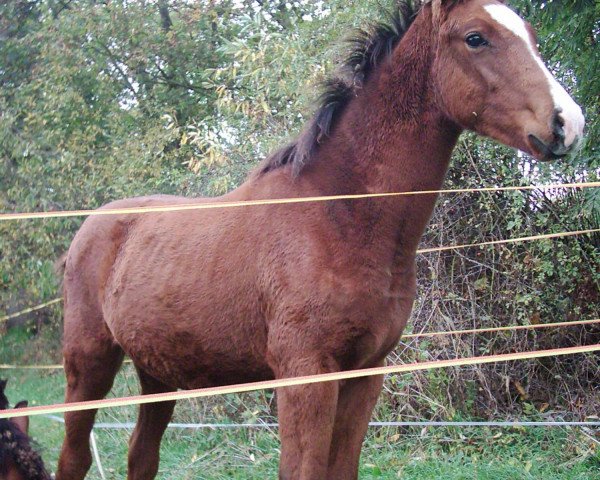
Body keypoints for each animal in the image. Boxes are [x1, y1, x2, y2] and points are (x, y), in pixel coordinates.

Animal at [55, 0, 580, 480]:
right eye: (476, 37)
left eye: (532, 36)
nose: (568, 123)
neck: (339, 216)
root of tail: (89, 229)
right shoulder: (306, 373)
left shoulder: (365, 374)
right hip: (89, 363)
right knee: (74, 457)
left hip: (158, 373)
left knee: (141, 455)